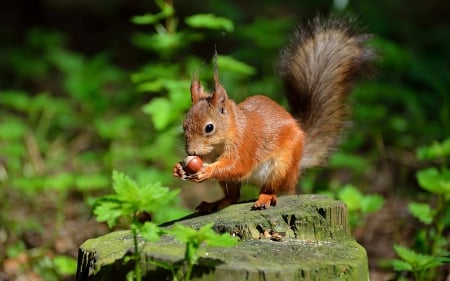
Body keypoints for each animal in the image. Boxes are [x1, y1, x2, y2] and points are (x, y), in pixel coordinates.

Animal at [173, 17, 376, 212]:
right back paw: (216, 203)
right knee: (233, 196)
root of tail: (296, 168)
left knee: (272, 188)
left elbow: (236, 166)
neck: (227, 135)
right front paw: (179, 169)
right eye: (184, 125)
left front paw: (206, 171)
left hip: (282, 167)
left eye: (209, 127)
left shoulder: (245, 144)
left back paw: (265, 197)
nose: (191, 152)